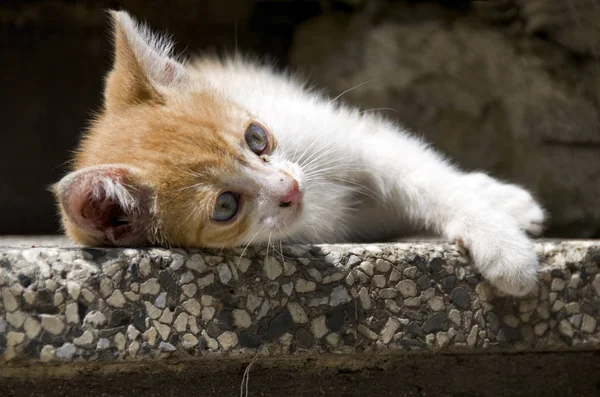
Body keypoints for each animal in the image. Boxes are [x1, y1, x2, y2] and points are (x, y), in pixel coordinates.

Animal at [54, 10, 548, 296]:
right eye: (225, 206)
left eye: (257, 138)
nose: (289, 188)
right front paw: (504, 244)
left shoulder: (351, 138)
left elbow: (425, 176)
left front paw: (503, 246)